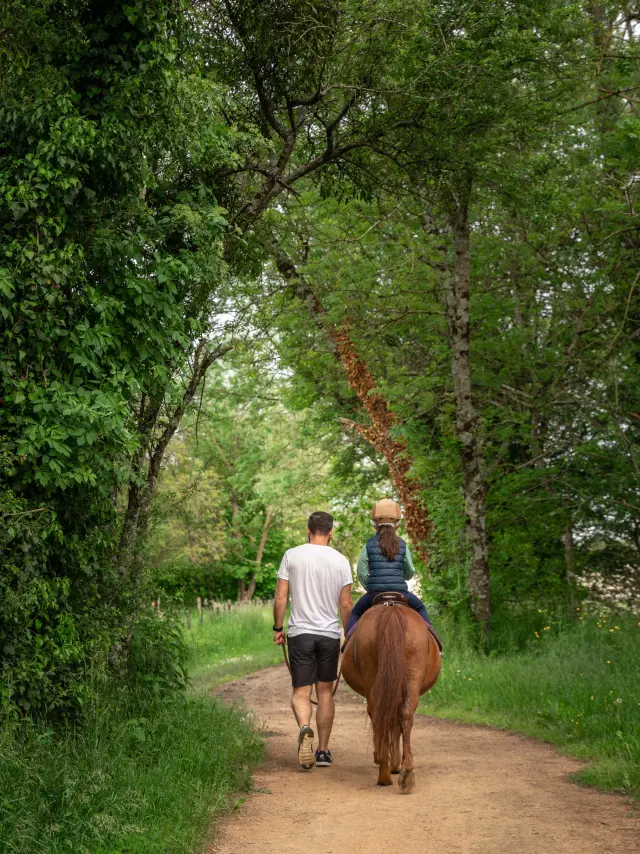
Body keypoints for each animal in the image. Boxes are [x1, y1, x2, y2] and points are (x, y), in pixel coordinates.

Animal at [341, 600, 441, 793]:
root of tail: (391, 610)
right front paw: (395, 763)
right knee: (402, 716)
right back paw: (401, 774)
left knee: (385, 717)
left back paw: (387, 772)